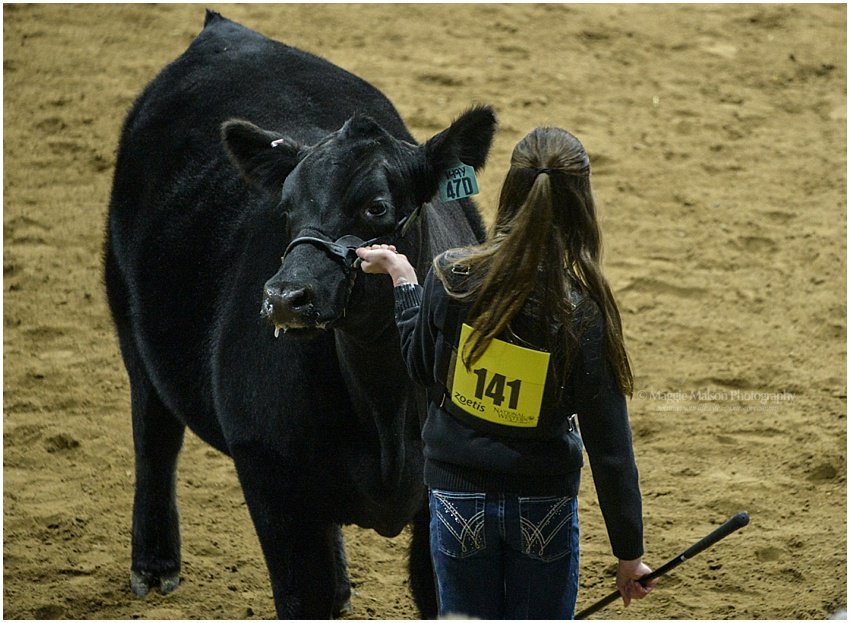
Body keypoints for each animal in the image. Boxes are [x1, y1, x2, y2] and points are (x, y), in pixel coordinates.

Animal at [103, 10, 497, 620]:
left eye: (376, 207)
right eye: (285, 209)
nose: (285, 297)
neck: (384, 410)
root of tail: (226, 30)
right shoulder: (270, 473)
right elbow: (304, 593)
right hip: (125, 308)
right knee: (154, 430)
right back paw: (153, 563)